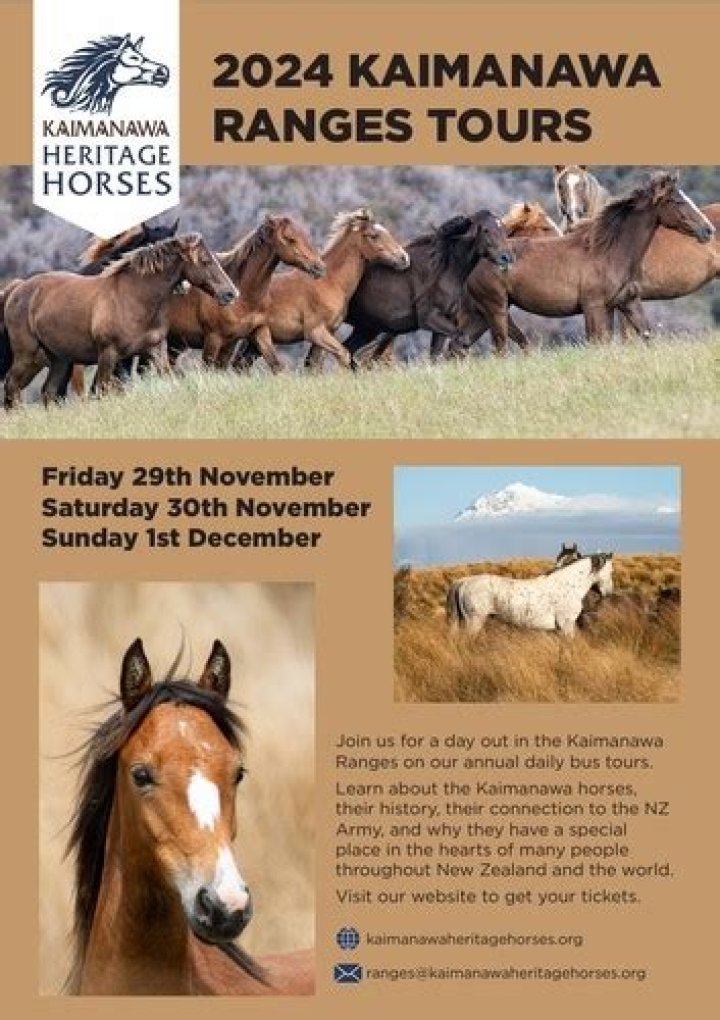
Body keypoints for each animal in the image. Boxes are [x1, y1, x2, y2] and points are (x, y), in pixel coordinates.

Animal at [2, 234, 237, 409]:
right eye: (205, 261)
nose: (230, 293)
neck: (134, 298)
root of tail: (17, 289)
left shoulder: (156, 349)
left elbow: (169, 379)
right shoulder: (109, 354)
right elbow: (102, 390)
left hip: (60, 359)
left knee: (49, 392)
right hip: (27, 355)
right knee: (12, 386)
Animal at [233, 208, 409, 372]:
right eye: (373, 235)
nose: (404, 258)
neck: (330, 281)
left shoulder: (327, 333)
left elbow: (315, 366)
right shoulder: (316, 332)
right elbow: (343, 355)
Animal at [302, 210, 514, 369]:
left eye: (503, 228)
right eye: (485, 230)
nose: (507, 257)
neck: (444, 267)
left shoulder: (443, 322)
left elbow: (437, 355)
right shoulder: (430, 319)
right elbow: (462, 340)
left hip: (367, 328)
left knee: (348, 352)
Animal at [446, 553, 614, 638]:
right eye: (610, 571)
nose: (608, 592)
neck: (568, 585)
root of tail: (463, 582)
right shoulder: (566, 624)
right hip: (474, 621)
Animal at [454, 171, 715, 354]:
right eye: (678, 202)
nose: (708, 230)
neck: (607, 252)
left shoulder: (626, 302)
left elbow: (645, 336)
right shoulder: (593, 307)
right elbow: (597, 344)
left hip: (483, 313)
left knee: (459, 346)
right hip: (496, 309)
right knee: (498, 350)